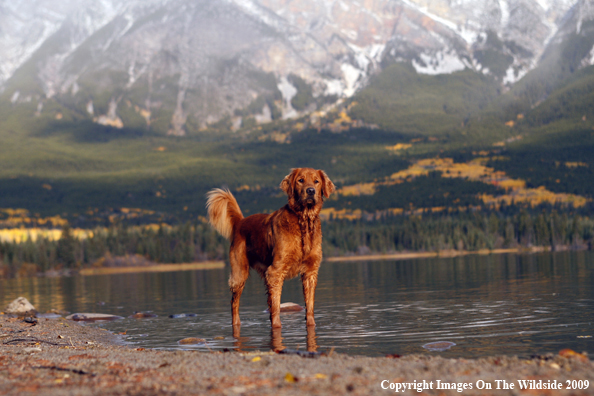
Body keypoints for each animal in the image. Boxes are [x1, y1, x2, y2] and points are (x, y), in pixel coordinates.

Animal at [205, 167, 332, 328]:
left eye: (316, 181)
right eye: (300, 180)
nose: (310, 191)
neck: (303, 221)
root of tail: (240, 221)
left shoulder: (310, 272)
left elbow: (309, 307)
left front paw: (311, 324)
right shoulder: (275, 271)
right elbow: (276, 307)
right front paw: (277, 327)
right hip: (239, 273)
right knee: (234, 303)